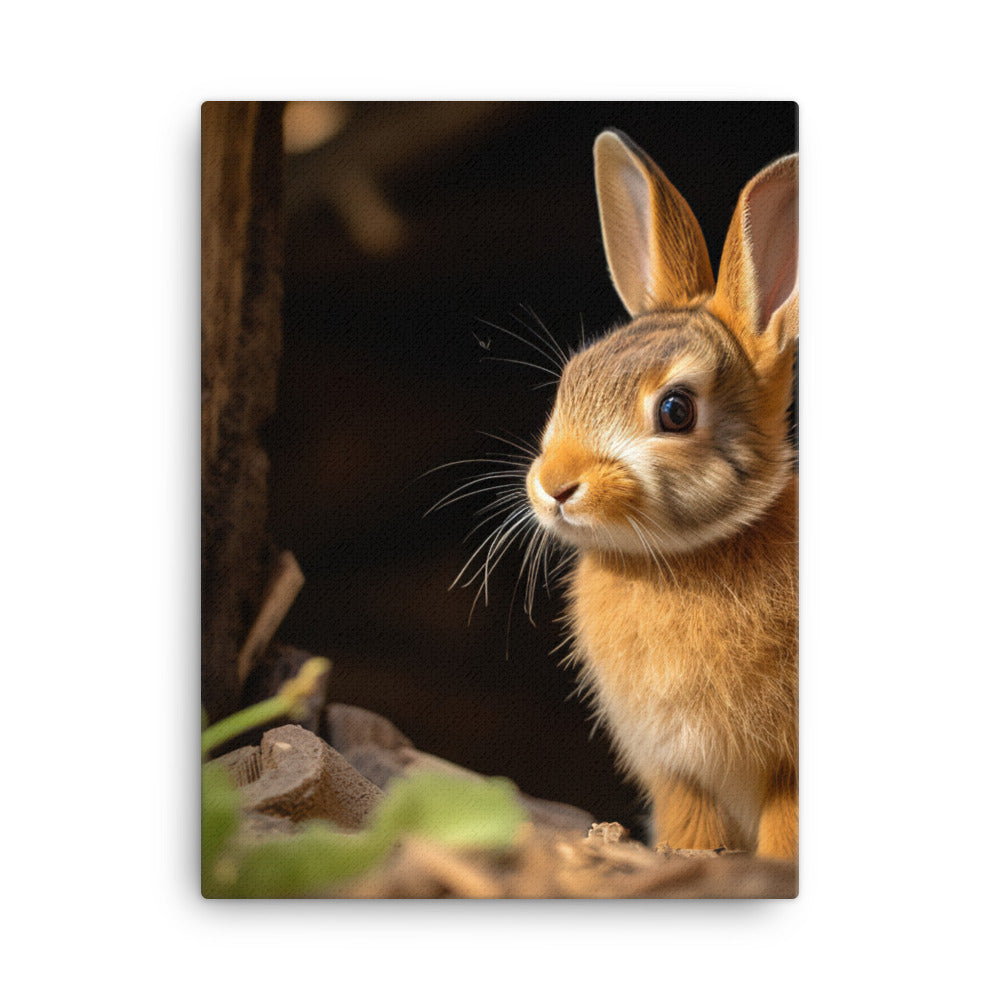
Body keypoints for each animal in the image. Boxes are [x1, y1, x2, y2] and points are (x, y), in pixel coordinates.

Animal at [523, 130, 798, 858]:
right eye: (573, 377)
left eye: (676, 411)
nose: (554, 486)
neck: (680, 558)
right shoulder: (678, 772)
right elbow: (689, 828)